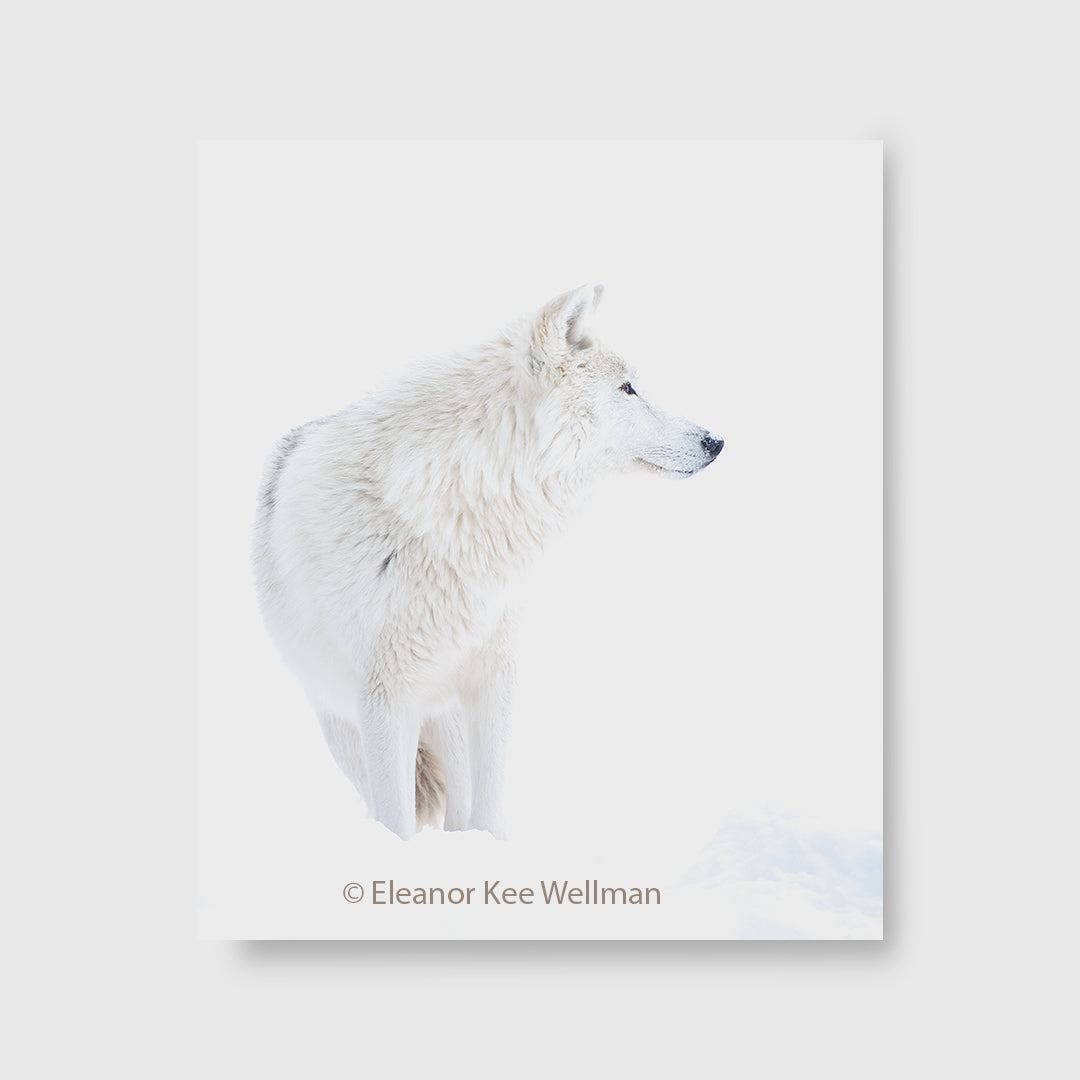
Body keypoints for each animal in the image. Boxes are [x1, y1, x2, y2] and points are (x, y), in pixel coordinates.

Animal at [253, 285, 723, 839]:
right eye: (627, 389)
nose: (716, 442)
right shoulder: (386, 697)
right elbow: (397, 819)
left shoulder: (496, 675)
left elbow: (490, 801)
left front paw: (489, 845)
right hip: (343, 722)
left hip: (445, 717)